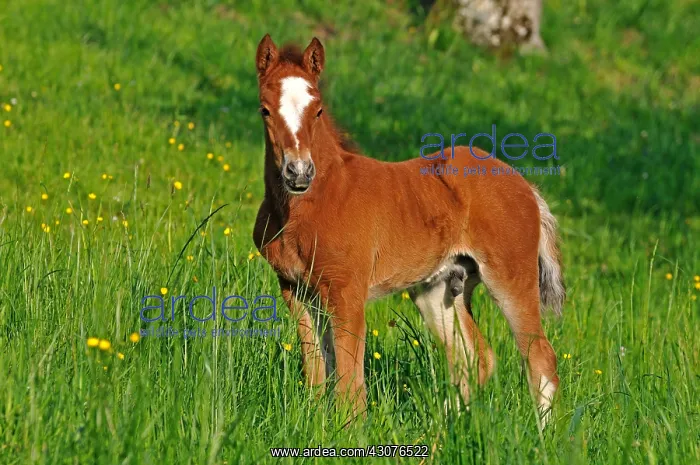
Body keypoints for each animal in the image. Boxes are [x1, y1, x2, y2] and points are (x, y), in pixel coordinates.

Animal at [252, 34, 565, 429]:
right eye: (265, 110)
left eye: (319, 110)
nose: (298, 173)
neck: (310, 205)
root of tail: (526, 187)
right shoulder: (295, 289)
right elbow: (317, 369)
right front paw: (314, 423)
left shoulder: (346, 291)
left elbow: (349, 376)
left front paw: (350, 431)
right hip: (438, 288)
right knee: (473, 357)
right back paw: (440, 430)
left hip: (509, 277)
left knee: (540, 356)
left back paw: (542, 436)